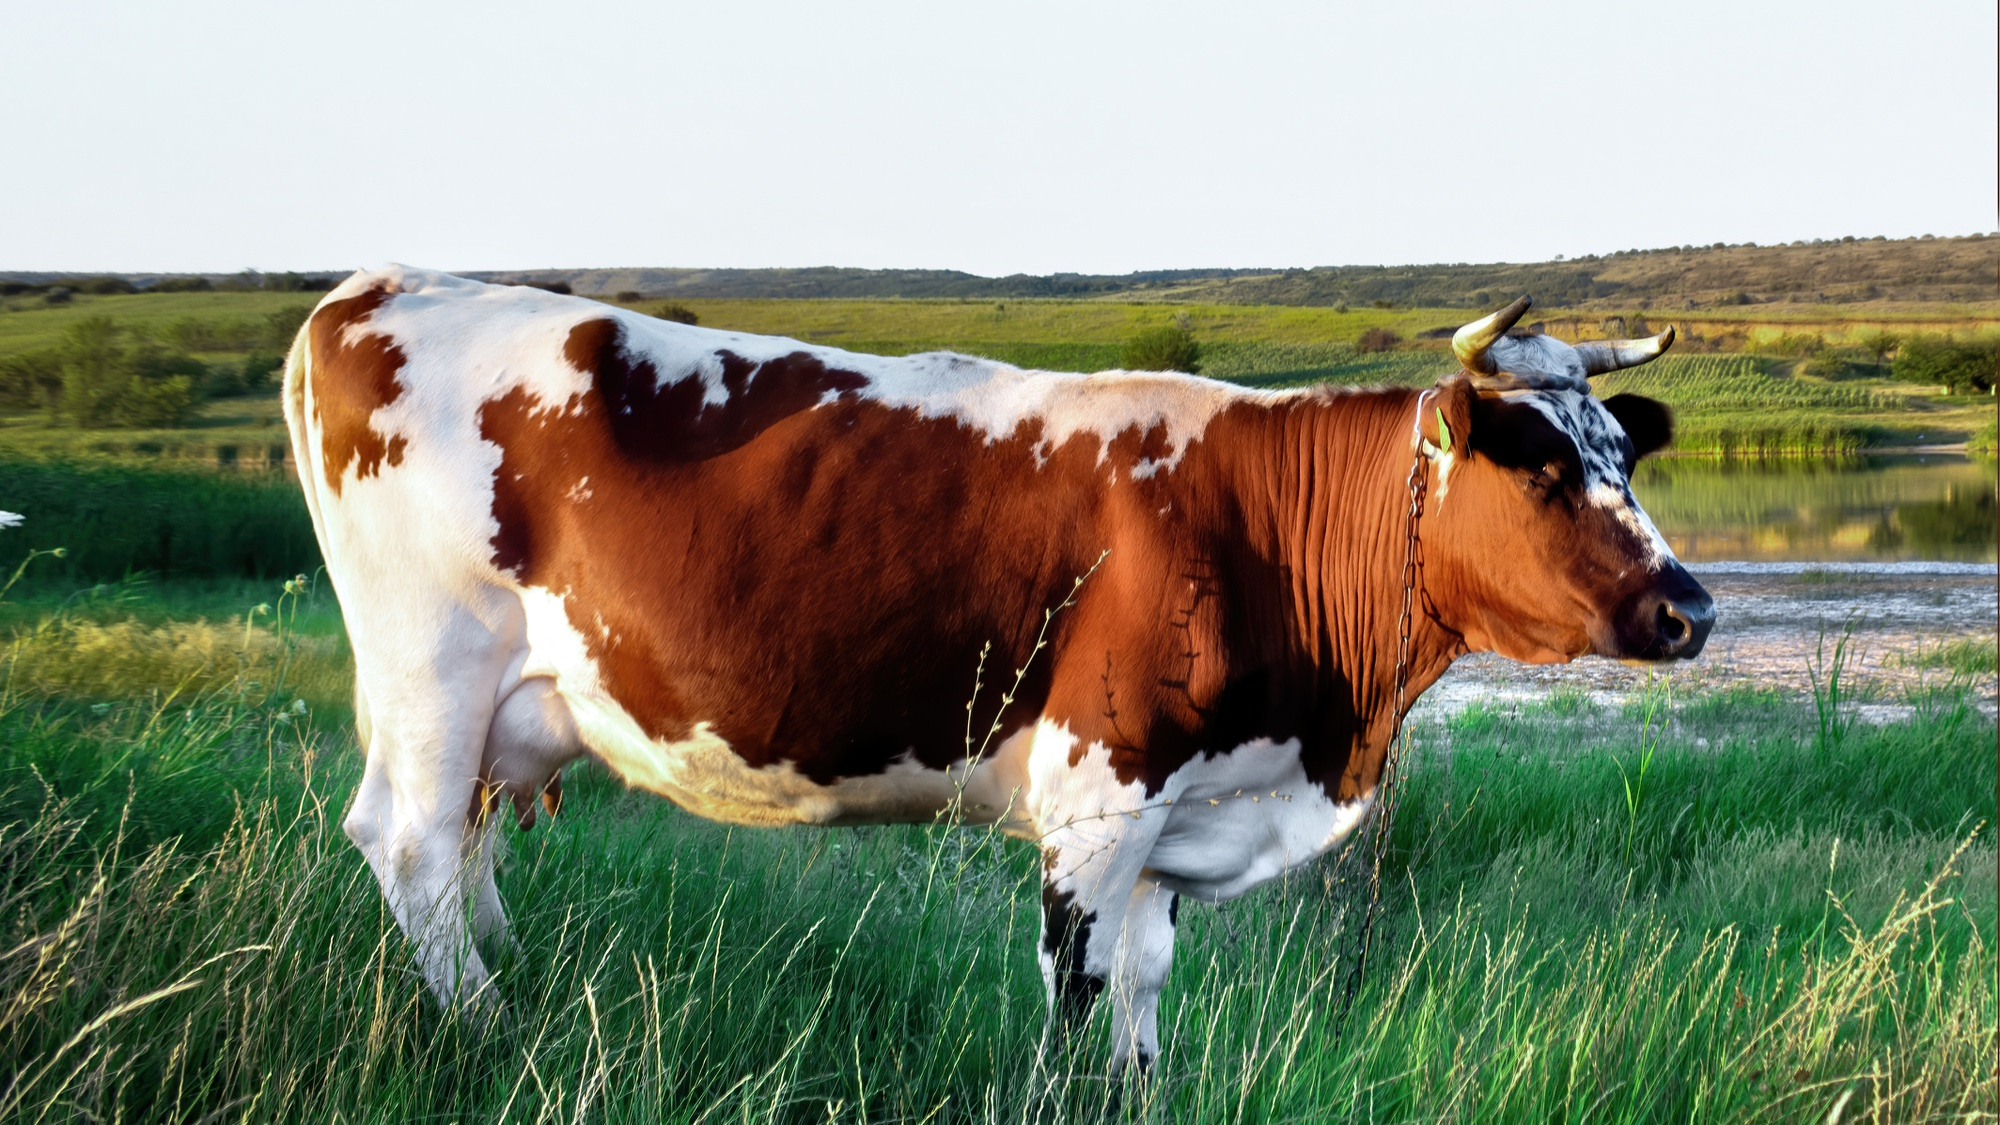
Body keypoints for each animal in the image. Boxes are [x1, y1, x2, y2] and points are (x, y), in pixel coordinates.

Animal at [282, 268, 1712, 1070]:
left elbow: (1141, 1013)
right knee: (410, 849)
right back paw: (494, 1034)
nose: (1686, 607)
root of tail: (383, 286)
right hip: (431, 668)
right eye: (1538, 462)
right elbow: (1074, 1004)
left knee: (463, 858)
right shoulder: (1095, 805)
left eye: (1621, 454)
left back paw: (512, 993)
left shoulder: (1172, 819)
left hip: (492, 716)